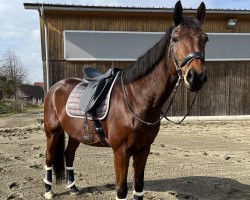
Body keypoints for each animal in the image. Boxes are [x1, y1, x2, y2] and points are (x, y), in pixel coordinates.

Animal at [42, 1, 207, 198]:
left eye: (205, 39)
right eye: (175, 38)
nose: (196, 77)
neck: (136, 100)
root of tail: (55, 88)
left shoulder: (143, 150)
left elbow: (139, 187)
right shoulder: (120, 151)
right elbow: (121, 190)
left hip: (75, 133)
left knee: (69, 155)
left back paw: (73, 187)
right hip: (52, 131)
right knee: (49, 157)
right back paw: (48, 190)